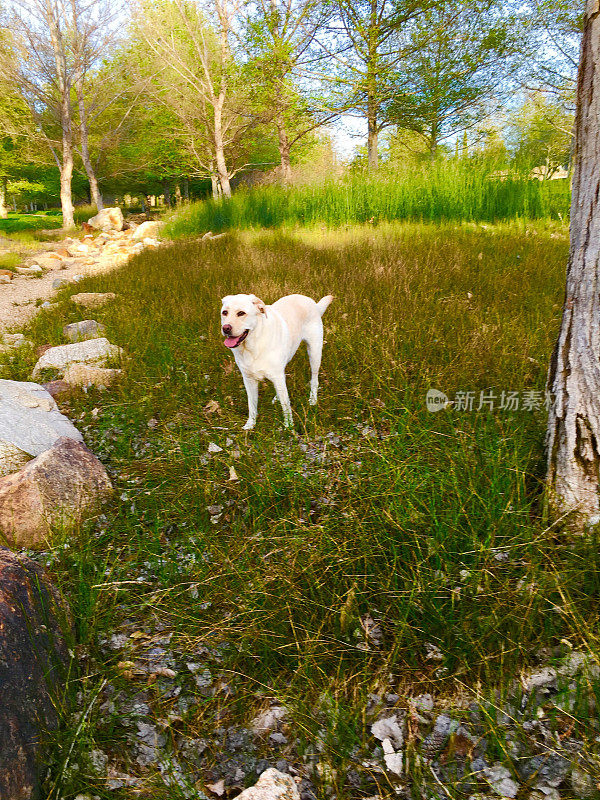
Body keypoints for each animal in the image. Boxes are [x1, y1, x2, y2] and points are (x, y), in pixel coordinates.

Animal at [219, 294, 332, 428]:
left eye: (241, 313)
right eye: (224, 313)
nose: (225, 328)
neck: (254, 345)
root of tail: (312, 303)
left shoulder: (277, 376)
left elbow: (286, 405)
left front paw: (289, 426)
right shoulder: (249, 380)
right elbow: (252, 404)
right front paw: (250, 425)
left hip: (314, 353)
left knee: (314, 379)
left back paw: (313, 400)